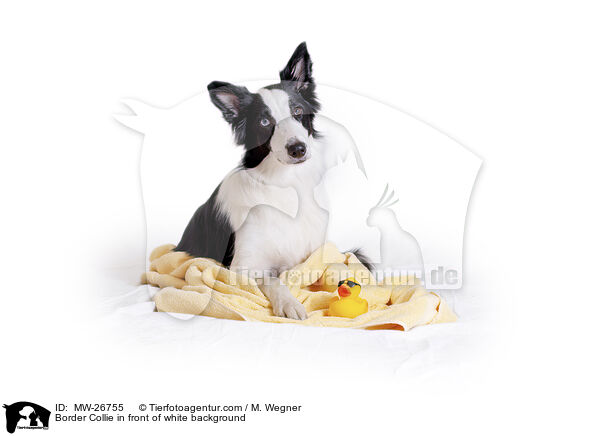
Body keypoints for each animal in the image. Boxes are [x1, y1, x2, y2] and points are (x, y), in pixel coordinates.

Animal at [175, 42, 370, 318]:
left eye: (297, 111)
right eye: (265, 121)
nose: (297, 149)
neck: (287, 185)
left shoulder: (313, 253)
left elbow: (337, 263)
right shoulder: (242, 268)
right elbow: (273, 279)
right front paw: (289, 303)